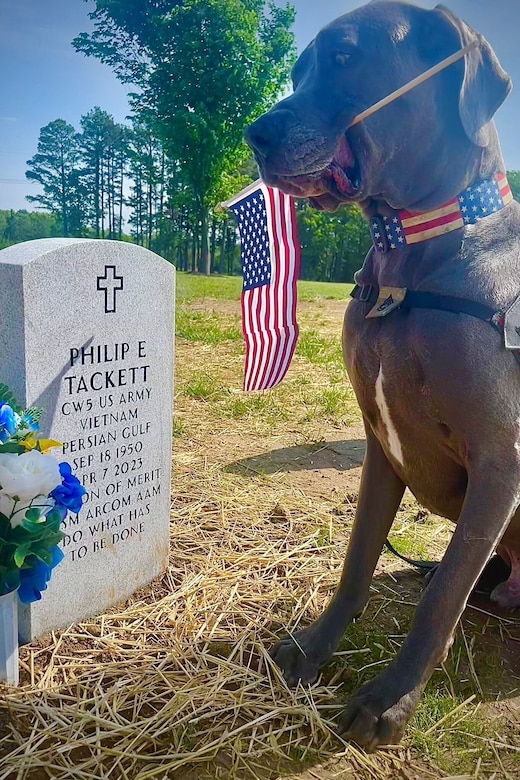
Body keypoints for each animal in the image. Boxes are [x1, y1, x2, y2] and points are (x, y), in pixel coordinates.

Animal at [245, 1, 520, 756]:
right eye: (297, 70)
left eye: (345, 57)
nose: (255, 135)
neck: (412, 259)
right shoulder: (378, 445)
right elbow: (357, 560)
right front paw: (311, 650)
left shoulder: (502, 460)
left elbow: (443, 592)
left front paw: (390, 703)